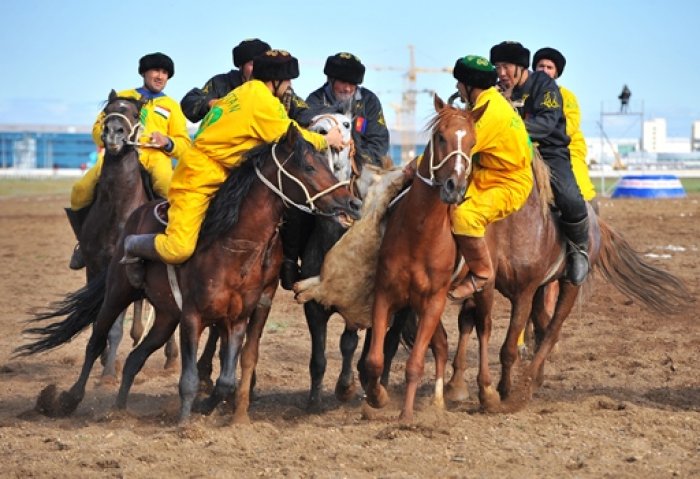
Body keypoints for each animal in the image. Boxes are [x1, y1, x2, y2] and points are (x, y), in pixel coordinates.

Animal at [15, 124, 360, 424]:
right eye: (310, 167)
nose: (352, 202)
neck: (235, 246)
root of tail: (133, 219)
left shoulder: (237, 318)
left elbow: (226, 380)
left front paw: (207, 409)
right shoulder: (193, 316)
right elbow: (190, 378)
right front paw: (184, 423)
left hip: (166, 317)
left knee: (135, 358)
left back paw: (119, 410)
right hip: (118, 293)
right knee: (96, 341)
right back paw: (69, 399)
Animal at [73, 91, 178, 382]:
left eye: (132, 113)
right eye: (108, 111)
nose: (113, 132)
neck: (117, 210)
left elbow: (118, 325)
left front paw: (109, 372)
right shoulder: (96, 268)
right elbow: (103, 319)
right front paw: (104, 361)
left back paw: (171, 358)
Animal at [360, 94, 482, 424]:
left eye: (472, 143)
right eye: (440, 136)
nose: (454, 187)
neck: (420, 235)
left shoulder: (433, 301)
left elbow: (415, 363)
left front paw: (405, 415)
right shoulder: (386, 295)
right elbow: (375, 359)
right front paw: (376, 398)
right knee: (439, 344)